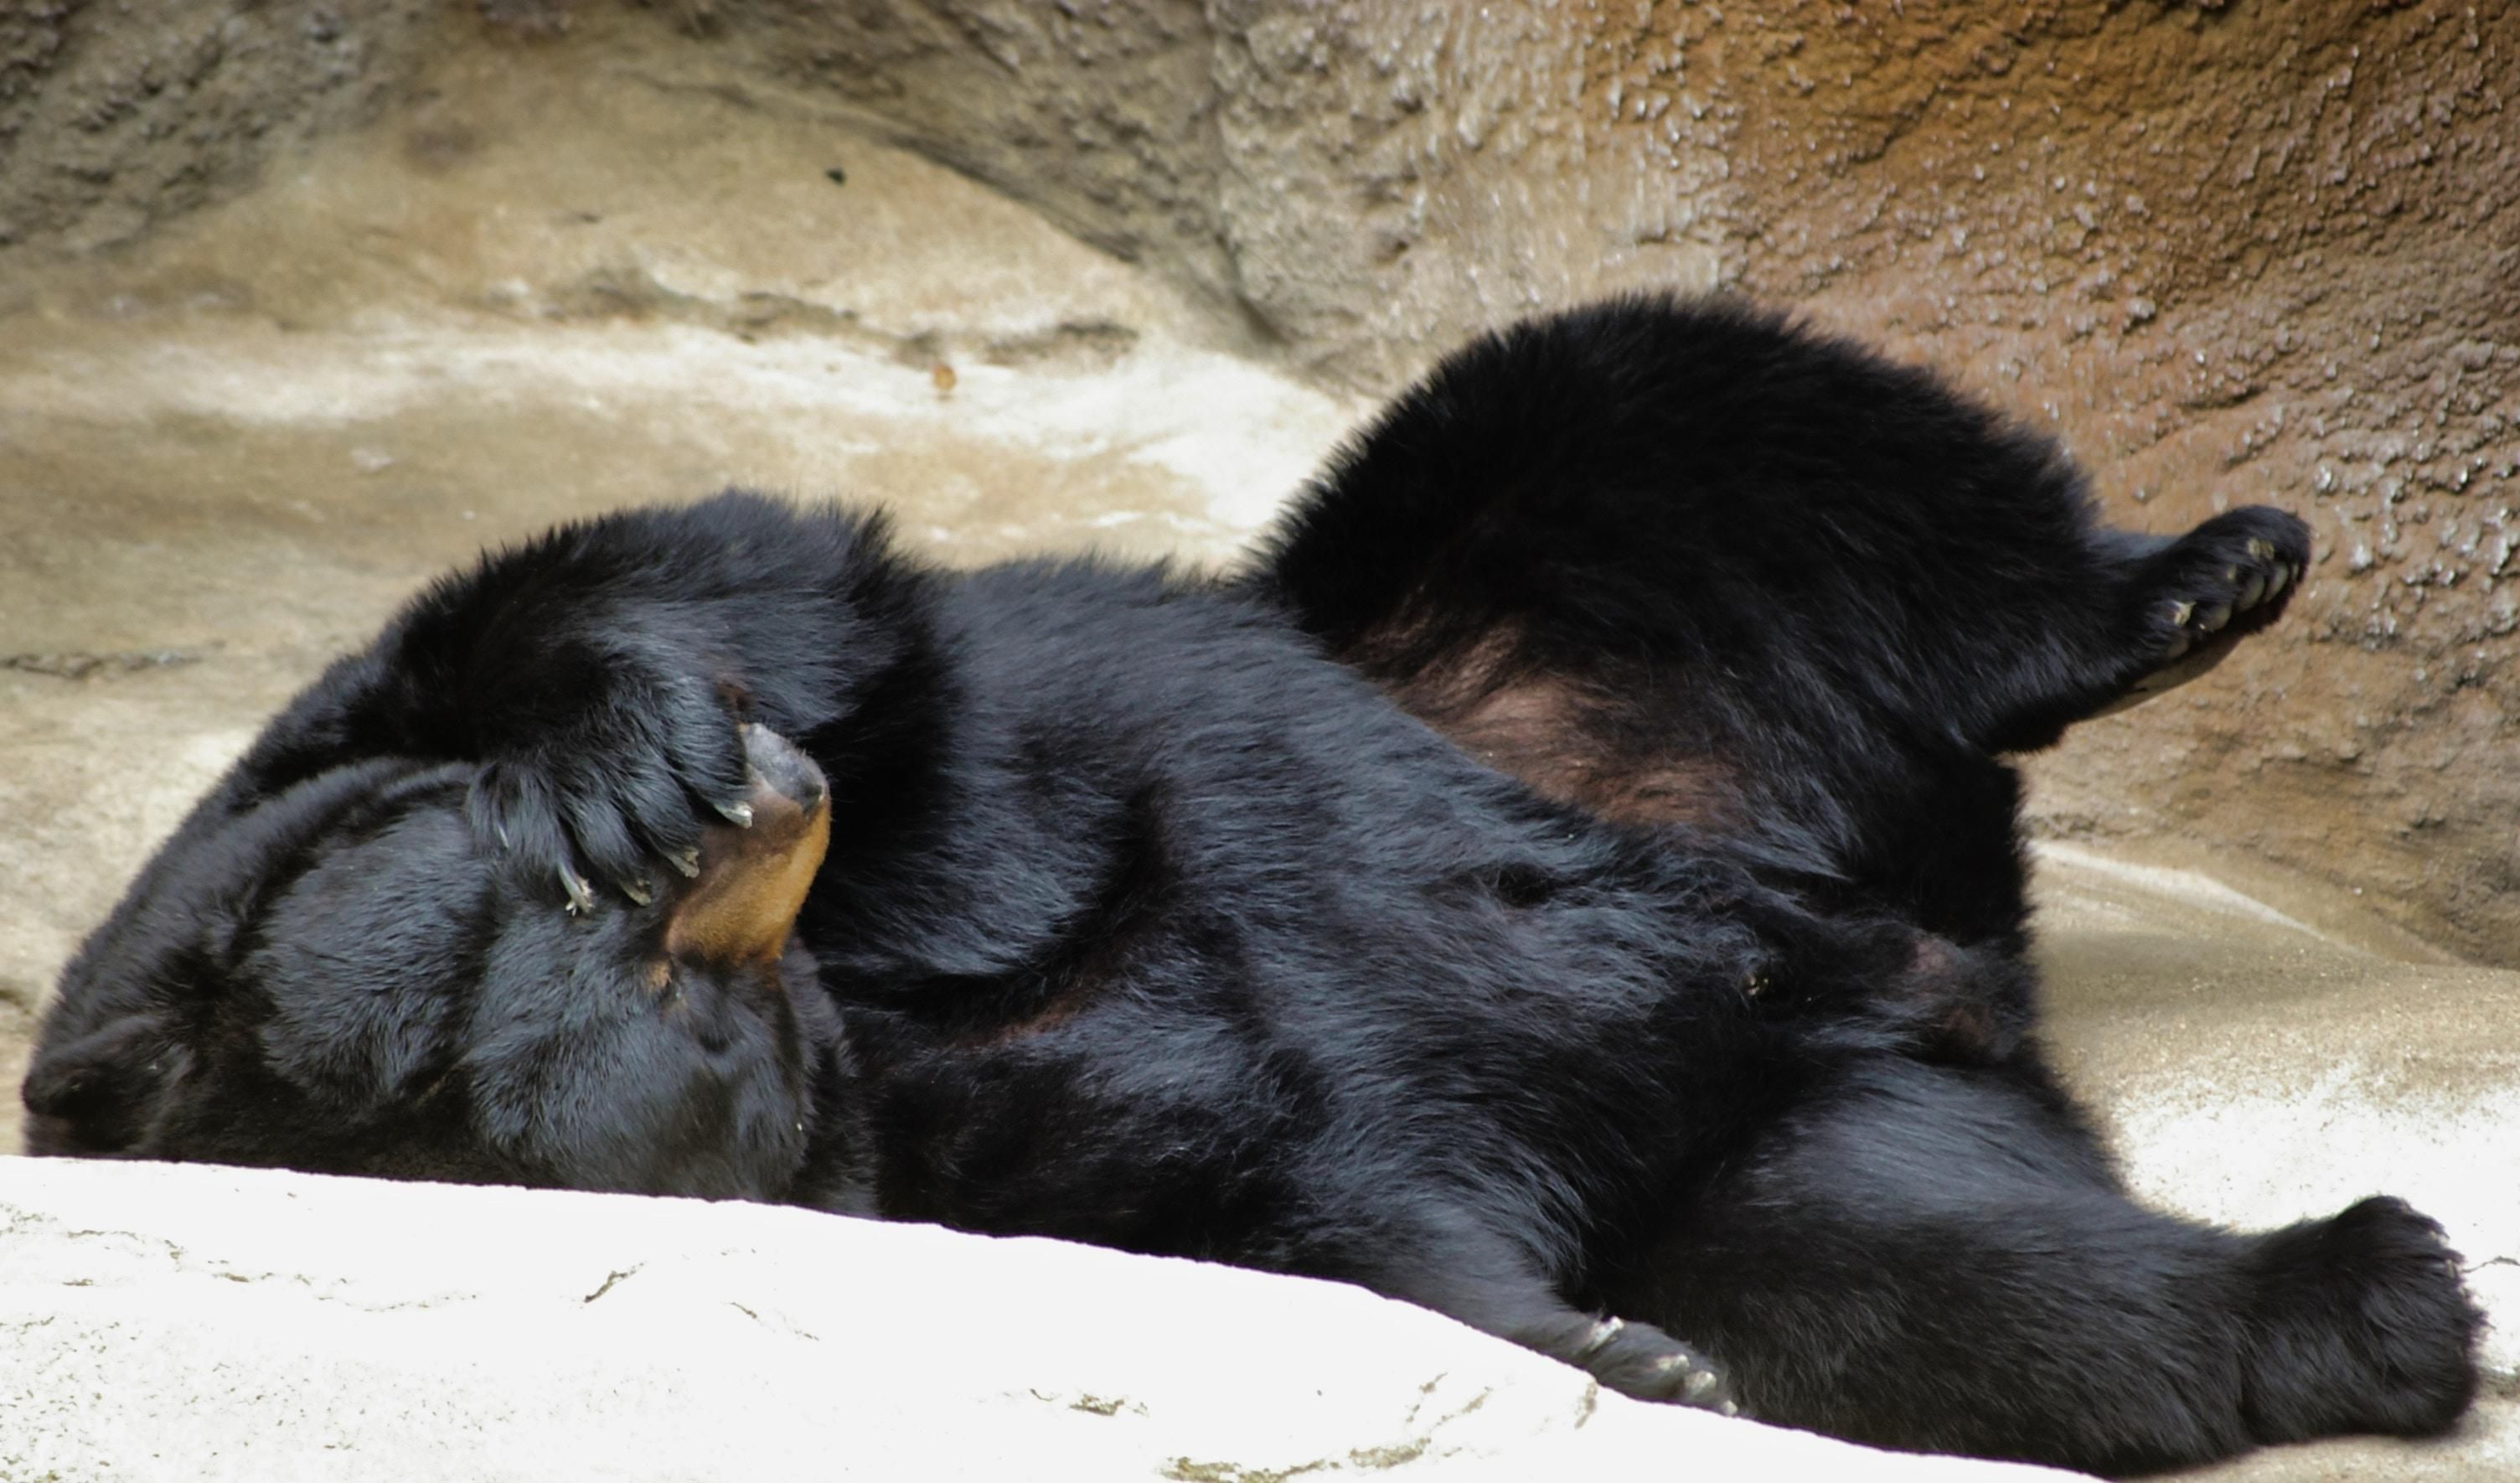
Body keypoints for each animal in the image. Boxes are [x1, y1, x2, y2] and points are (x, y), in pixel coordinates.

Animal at [24, 298, 2479, 1472]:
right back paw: (2356, 1291)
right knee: (1933, 1262)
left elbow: (724, 569)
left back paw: (2182, 580)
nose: (754, 809)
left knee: (1675, 414)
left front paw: (620, 742)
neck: (850, 1004)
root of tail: (1926, 932)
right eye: (664, 993)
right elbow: (1276, 1181)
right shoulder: (960, 1149)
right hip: (1799, 1118)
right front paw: (1590, 1343)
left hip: (1498, 619)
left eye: (606, 914)